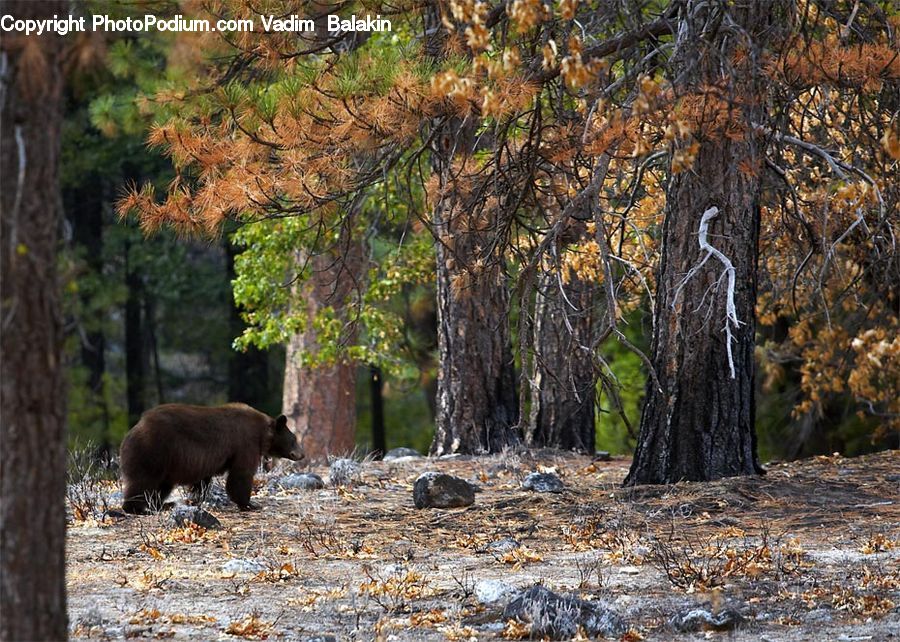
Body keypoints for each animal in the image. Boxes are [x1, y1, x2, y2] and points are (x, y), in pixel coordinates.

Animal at [120, 403, 304, 514]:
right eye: (294, 439)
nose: (301, 454)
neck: (262, 433)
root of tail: (133, 430)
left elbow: (202, 481)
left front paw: (196, 500)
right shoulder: (245, 444)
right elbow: (241, 475)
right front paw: (249, 503)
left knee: (161, 486)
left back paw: (163, 504)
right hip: (152, 451)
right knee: (142, 481)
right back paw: (137, 508)